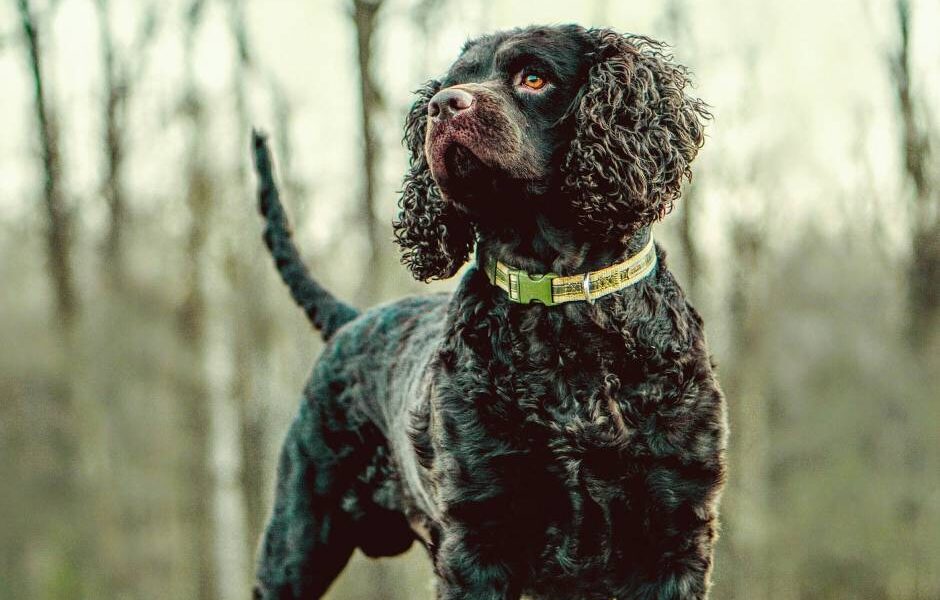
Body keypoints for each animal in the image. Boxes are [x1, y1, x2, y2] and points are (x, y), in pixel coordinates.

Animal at [250, 23, 728, 600]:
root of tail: (350, 320)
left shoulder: (675, 532)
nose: (442, 106)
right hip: (298, 538)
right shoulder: (479, 533)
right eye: (451, 83)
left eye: (533, 77)